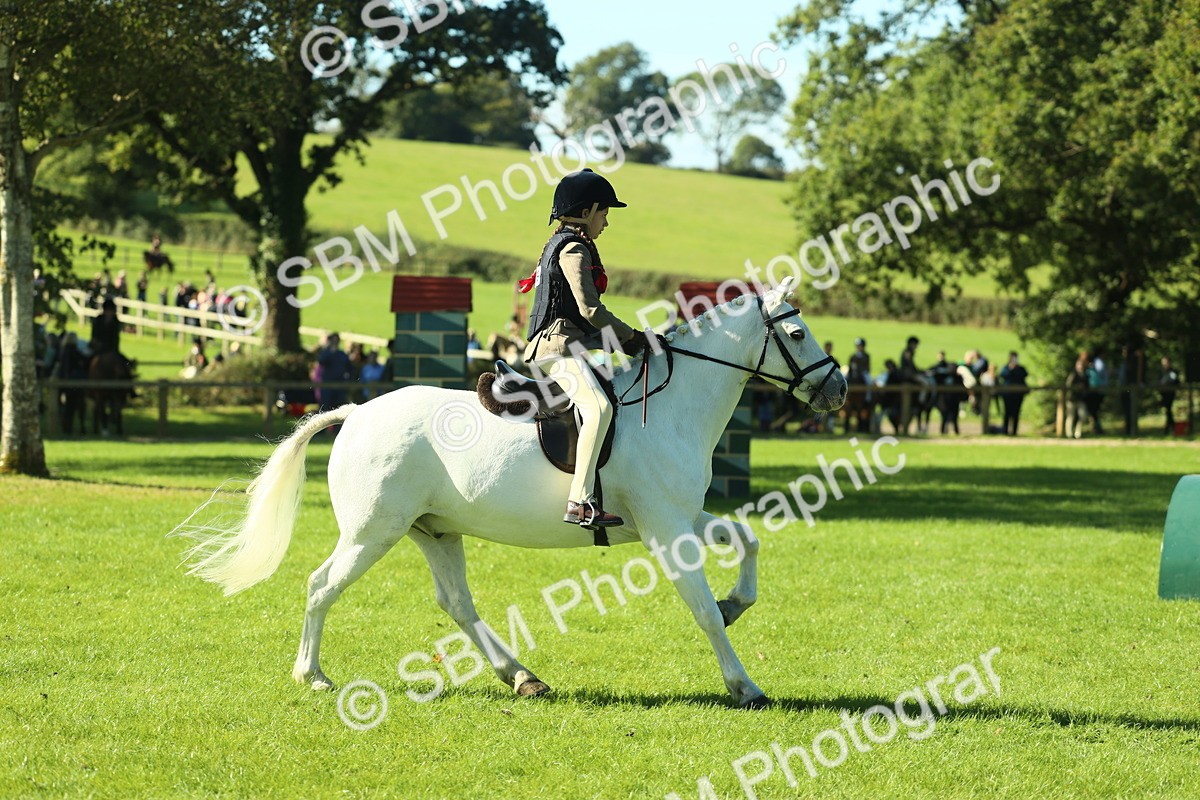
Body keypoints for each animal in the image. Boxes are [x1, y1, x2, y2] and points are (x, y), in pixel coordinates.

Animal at [176, 278, 848, 708]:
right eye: (796, 332)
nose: (837, 390)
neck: (670, 406)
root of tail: (358, 412)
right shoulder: (665, 529)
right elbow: (702, 610)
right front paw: (745, 685)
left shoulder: (679, 517)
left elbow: (748, 540)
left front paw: (739, 604)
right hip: (374, 532)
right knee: (321, 586)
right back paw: (311, 675)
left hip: (434, 531)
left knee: (456, 604)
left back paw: (522, 678)